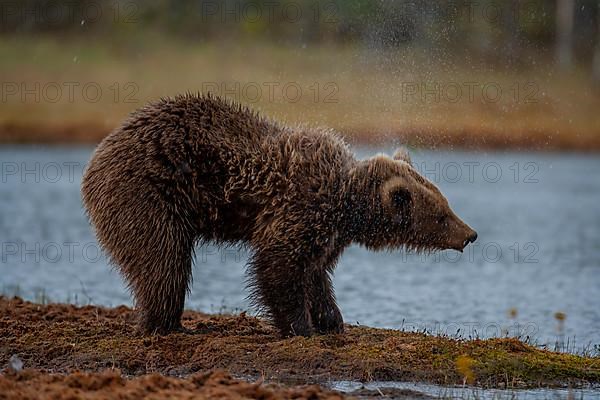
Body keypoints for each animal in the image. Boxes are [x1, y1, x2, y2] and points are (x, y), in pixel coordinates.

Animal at [81, 94, 478, 338]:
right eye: (442, 216)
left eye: (446, 205)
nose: (470, 234)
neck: (346, 203)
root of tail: (100, 151)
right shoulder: (300, 206)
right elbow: (279, 265)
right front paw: (301, 326)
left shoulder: (327, 232)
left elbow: (316, 272)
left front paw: (332, 319)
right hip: (148, 192)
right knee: (163, 260)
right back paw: (164, 322)